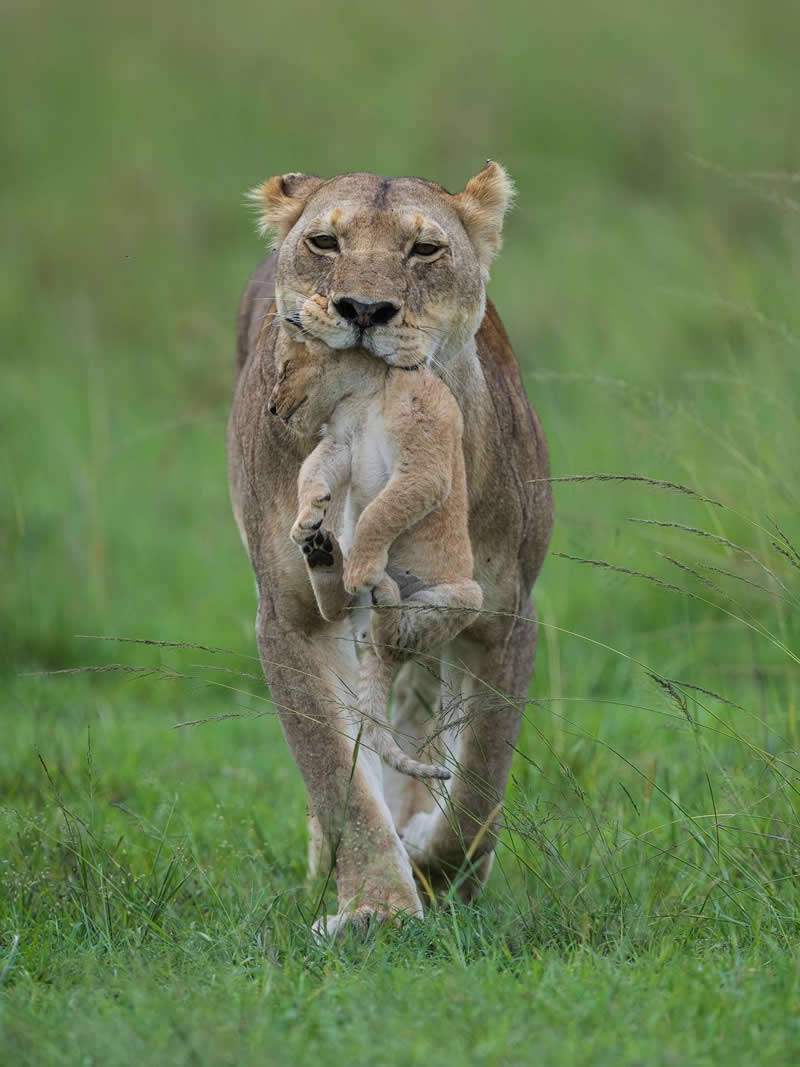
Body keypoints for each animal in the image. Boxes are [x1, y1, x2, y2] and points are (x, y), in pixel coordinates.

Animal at [267, 322, 483, 781]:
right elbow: (310, 473)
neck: (365, 398)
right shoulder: (339, 443)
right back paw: (323, 553)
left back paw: (380, 589)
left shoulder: (425, 460)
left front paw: (361, 570)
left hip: (467, 595)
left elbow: (380, 514)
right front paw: (306, 520)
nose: (272, 409)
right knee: (339, 614)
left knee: (395, 645)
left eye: (286, 368)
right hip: (353, 611)